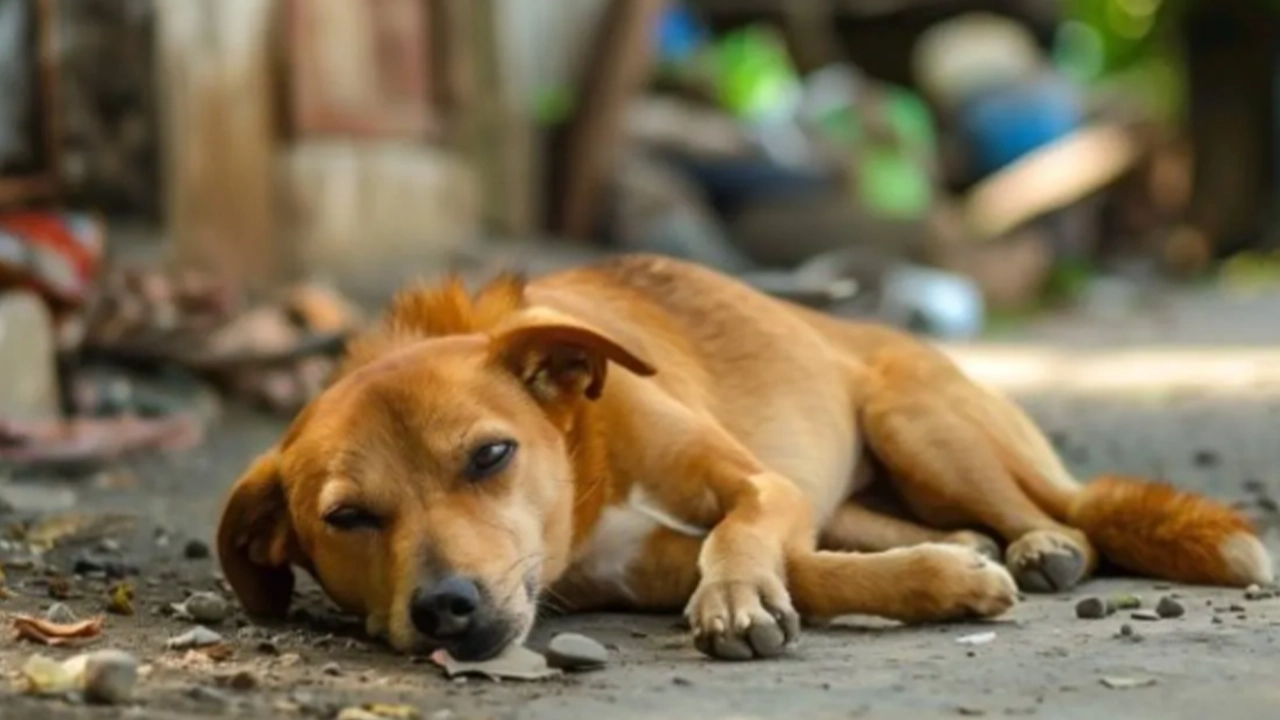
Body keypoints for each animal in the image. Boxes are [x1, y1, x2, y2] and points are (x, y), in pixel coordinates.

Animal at [217, 254, 1269, 661]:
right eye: (347, 519)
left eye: (491, 456)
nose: (446, 608)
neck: (587, 461)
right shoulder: (636, 569)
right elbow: (812, 570)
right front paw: (940, 579)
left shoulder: (760, 485)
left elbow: (743, 536)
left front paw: (733, 600)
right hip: (868, 483)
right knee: (900, 524)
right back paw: (972, 546)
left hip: (919, 422)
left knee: (1060, 512)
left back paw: (1042, 544)